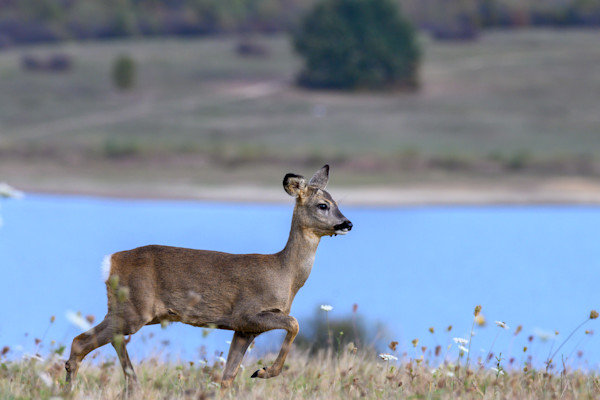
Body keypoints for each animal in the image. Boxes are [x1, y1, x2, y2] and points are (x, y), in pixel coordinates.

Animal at [64, 165, 352, 391]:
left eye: (337, 203)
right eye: (323, 205)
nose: (347, 223)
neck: (285, 274)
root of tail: (110, 262)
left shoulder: (244, 329)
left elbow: (227, 378)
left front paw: (253, 373)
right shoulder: (247, 313)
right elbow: (294, 323)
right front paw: (263, 371)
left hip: (129, 310)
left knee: (107, 341)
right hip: (135, 309)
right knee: (82, 342)